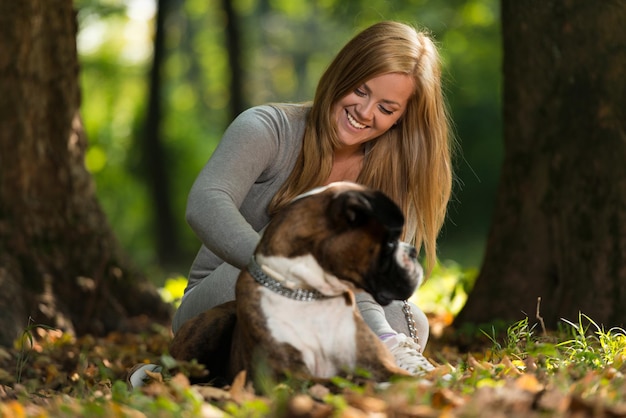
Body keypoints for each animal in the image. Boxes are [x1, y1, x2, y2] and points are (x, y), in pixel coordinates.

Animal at [171, 183, 422, 386]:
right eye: (390, 243)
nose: (413, 251)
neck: (309, 294)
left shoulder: (376, 364)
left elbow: (410, 380)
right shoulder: (289, 377)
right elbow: (341, 384)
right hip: (211, 325)